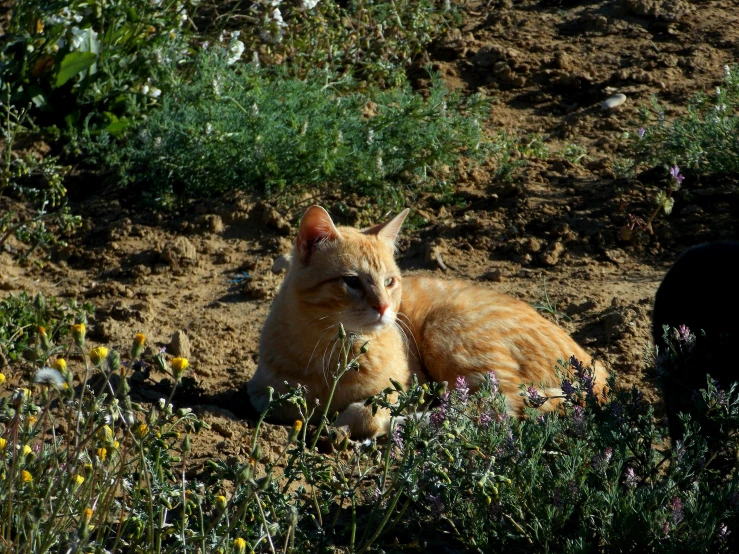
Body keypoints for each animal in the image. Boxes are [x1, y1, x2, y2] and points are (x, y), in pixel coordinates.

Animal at [249, 206, 608, 436]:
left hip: (449, 335)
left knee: (491, 411)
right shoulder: (264, 394)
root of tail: (598, 367)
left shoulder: (403, 389)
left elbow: (370, 412)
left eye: (390, 282)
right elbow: (287, 406)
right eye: (351, 282)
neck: (333, 352)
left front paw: (352, 423)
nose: (384, 307)